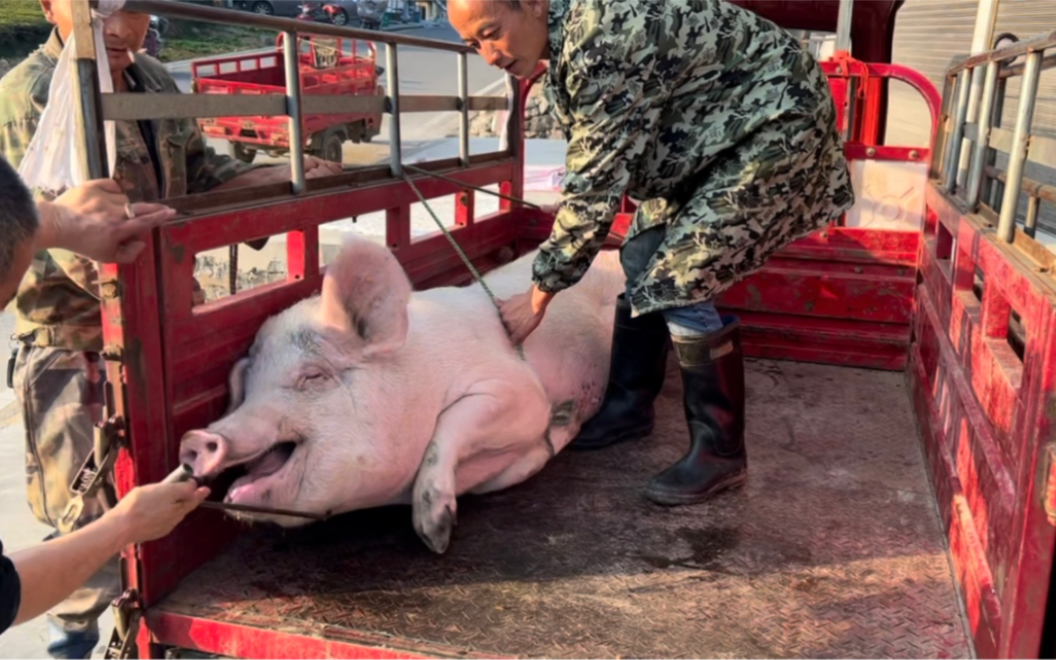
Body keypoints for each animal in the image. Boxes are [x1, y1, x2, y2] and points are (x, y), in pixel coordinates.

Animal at [180, 234, 625, 553]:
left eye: (312, 376)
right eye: (249, 386)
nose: (196, 438)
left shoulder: (517, 390)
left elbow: (448, 424)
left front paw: (435, 536)